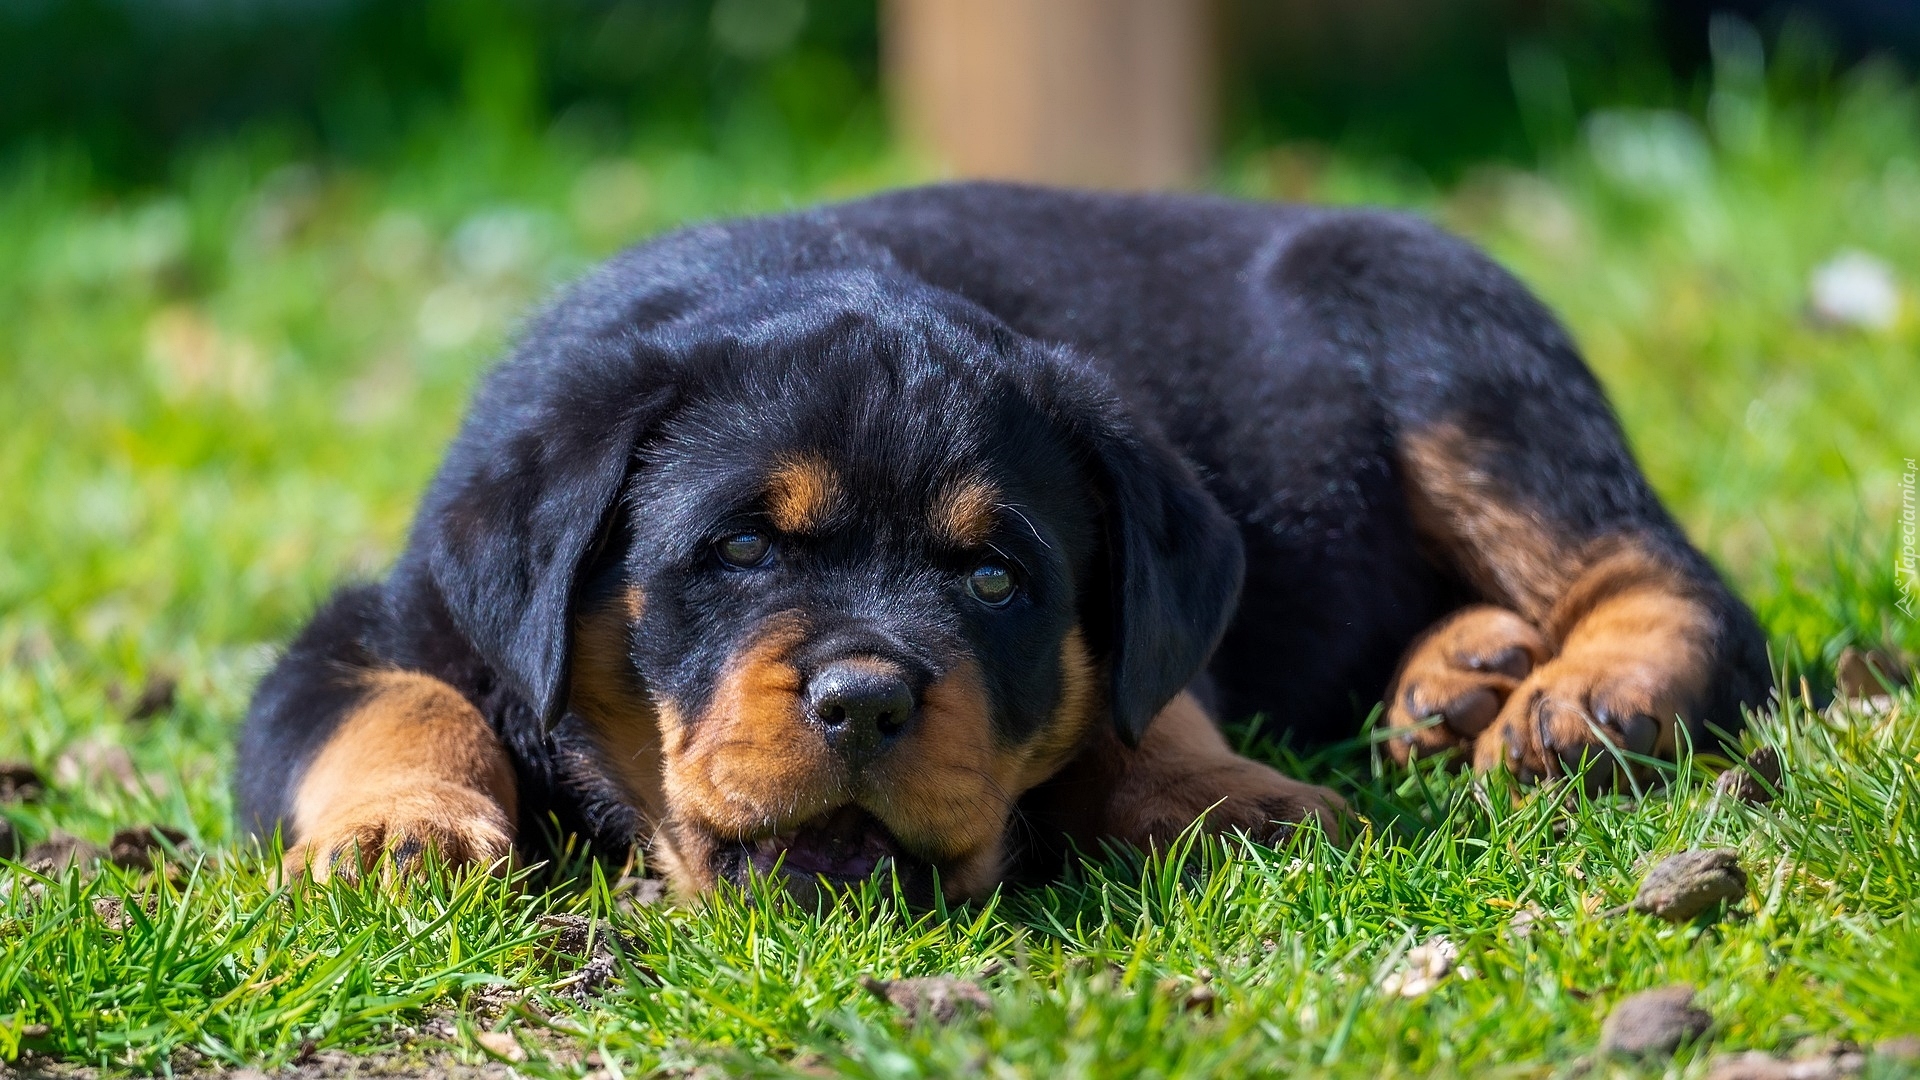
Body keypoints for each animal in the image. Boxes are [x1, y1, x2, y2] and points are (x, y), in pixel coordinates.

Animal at [236, 180, 1766, 895]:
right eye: (738, 554)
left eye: (992, 578)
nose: (864, 699)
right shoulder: (386, 620)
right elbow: (394, 707)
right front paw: (401, 834)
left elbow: (1148, 712)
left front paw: (1229, 797)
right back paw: (1464, 674)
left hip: (1442, 340)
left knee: (1663, 573)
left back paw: (1586, 691)